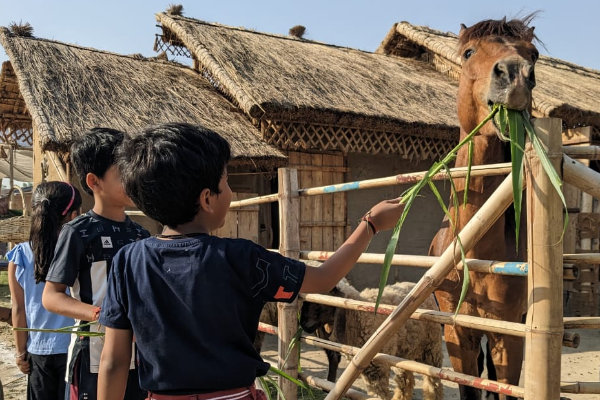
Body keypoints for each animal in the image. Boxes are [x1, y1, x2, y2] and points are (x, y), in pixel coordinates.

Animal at [300, 278, 446, 400]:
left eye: (317, 303)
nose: (302, 324)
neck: (358, 315)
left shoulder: (376, 368)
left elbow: (379, 393)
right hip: (403, 351)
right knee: (405, 379)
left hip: (431, 348)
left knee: (433, 383)